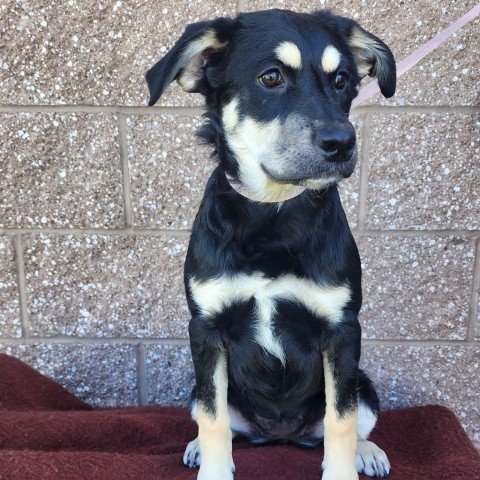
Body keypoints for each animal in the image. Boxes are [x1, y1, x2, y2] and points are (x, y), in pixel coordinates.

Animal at [148, 8, 396, 480]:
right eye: (271, 77)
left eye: (342, 80)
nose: (342, 143)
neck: (272, 213)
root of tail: (280, 433)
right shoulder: (206, 329)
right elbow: (214, 419)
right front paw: (213, 468)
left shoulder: (342, 331)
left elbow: (341, 419)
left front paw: (342, 469)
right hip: (197, 387)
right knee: (220, 418)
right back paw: (197, 447)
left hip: (366, 383)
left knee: (352, 420)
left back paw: (367, 452)